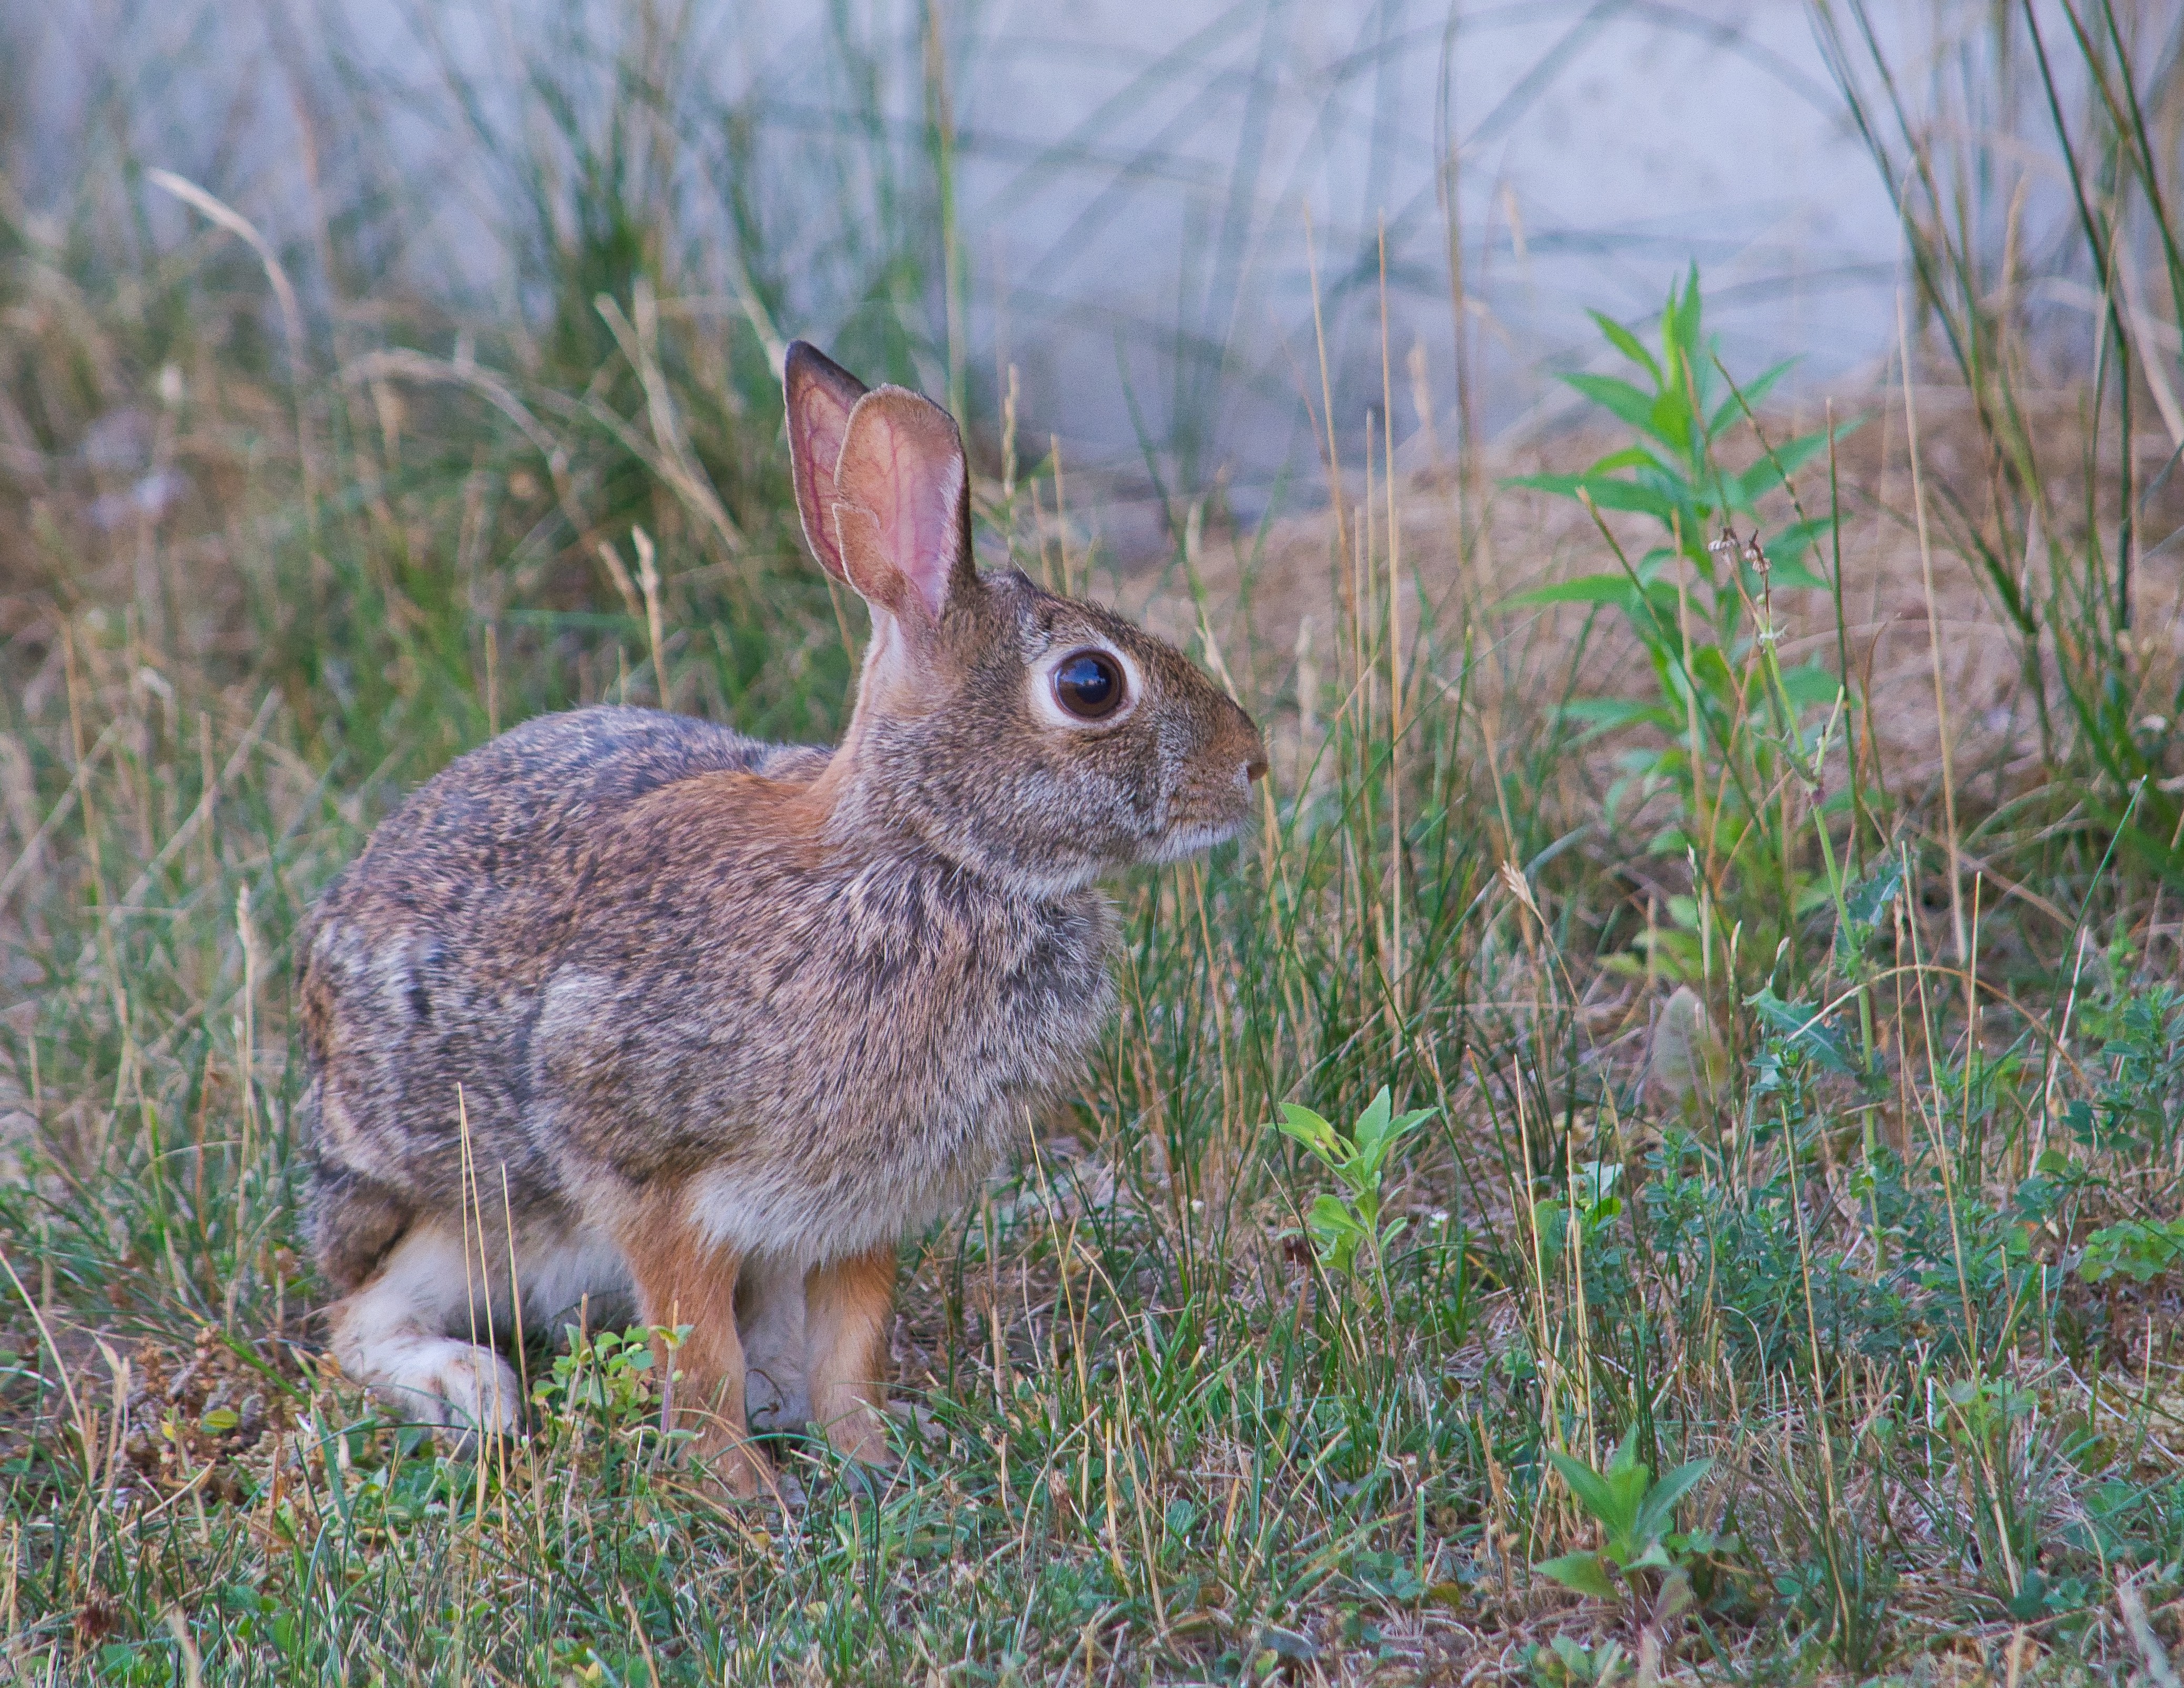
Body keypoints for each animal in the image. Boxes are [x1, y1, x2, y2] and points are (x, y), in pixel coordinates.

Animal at [299, 338, 1275, 1484]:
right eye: (1090, 684)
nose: (1251, 765)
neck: (926, 855)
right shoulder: (650, 1176)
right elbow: (697, 1353)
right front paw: (741, 1494)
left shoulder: (863, 1207)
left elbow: (853, 1343)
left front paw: (871, 1454)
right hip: (468, 1216)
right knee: (359, 1318)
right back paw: (474, 1394)